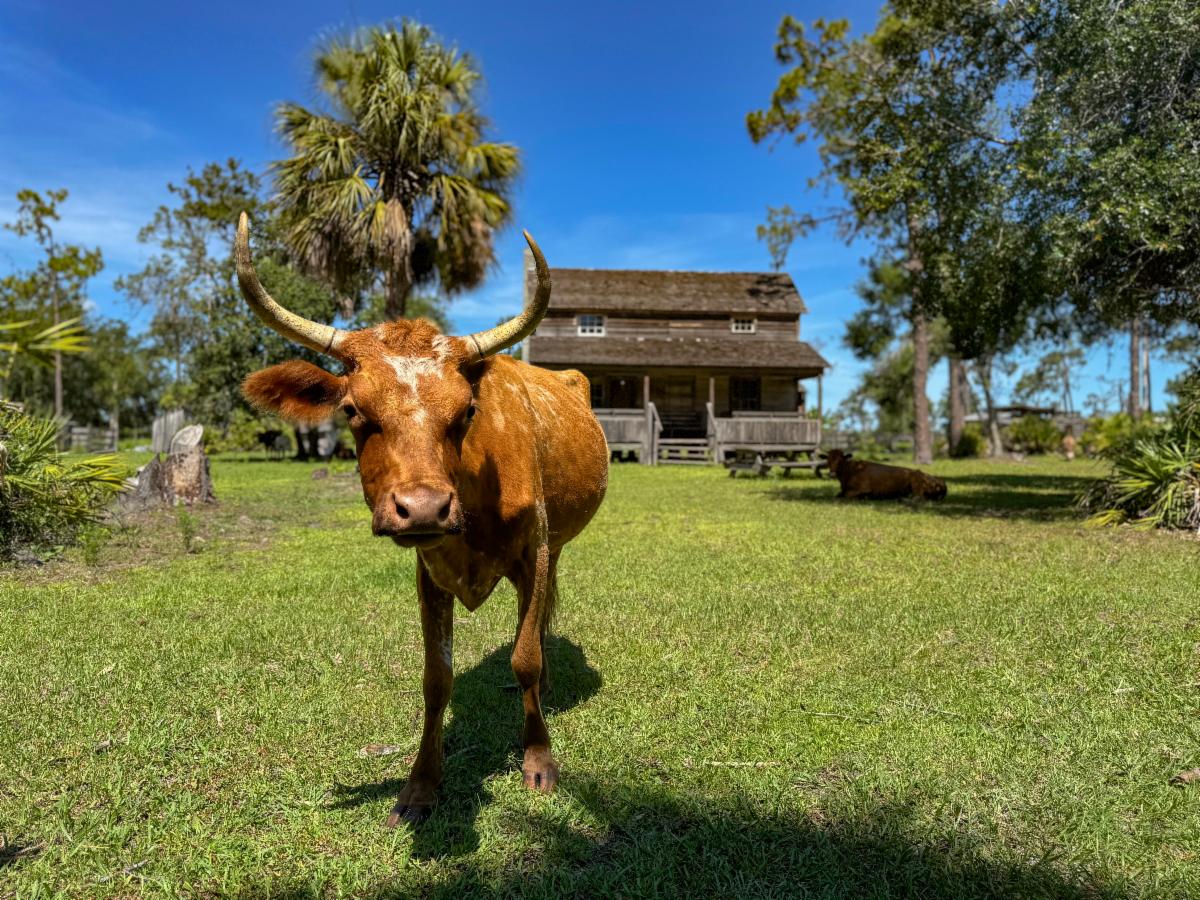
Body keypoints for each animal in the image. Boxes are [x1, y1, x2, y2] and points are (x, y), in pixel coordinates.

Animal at [232, 214, 609, 826]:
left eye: (467, 412)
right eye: (353, 410)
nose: (425, 507)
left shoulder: (534, 549)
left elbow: (525, 656)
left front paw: (538, 760)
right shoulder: (429, 573)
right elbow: (437, 679)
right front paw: (421, 785)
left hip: (556, 544)